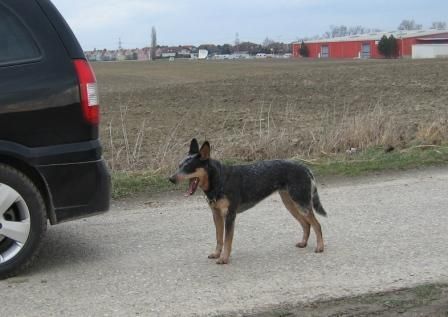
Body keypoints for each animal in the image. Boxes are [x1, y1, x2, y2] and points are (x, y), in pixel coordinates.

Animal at [170, 138, 328, 264]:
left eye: (188, 167)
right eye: (179, 165)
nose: (171, 179)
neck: (219, 180)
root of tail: (305, 167)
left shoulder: (230, 216)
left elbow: (227, 240)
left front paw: (224, 258)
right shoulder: (216, 215)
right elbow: (219, 238)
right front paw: (216, 254)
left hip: (301, 203)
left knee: (317, 224)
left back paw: (320, 247)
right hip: (291, 204)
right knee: (306, 224)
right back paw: (303, 243)